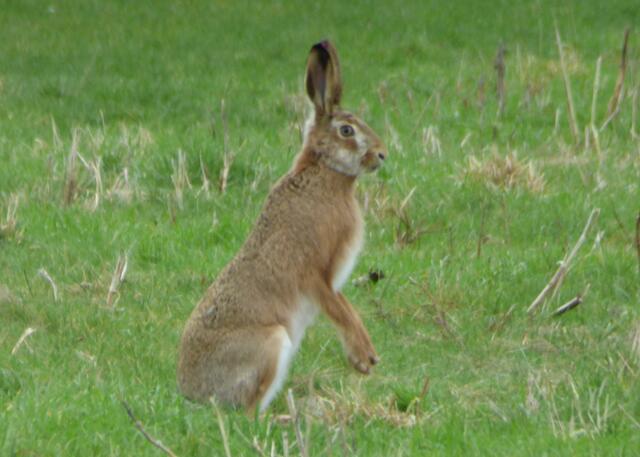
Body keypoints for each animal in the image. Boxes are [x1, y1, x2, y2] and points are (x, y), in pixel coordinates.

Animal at [177, 40, 387, 412]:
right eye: (347, 130)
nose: (381, 154)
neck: (324, 171)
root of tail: (192, 392)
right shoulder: (315, 272)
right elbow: (339, 311)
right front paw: (363, 358)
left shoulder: (330, 280)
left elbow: (346, 306)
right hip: (272, 342)